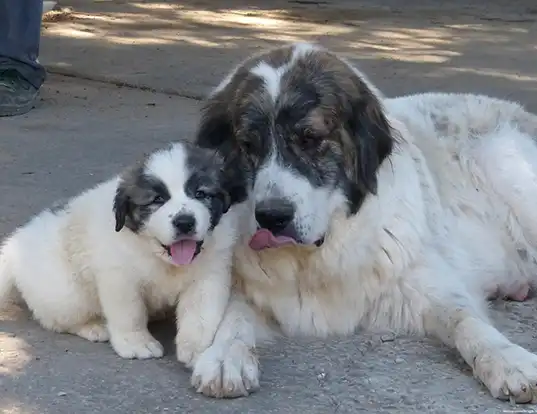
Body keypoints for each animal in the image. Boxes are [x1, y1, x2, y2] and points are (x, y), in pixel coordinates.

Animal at [0, 140, 247, 366]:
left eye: (201, 194)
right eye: (157, 200)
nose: (184, 222)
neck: (160, 258)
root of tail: (16, 243)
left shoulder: (210, 273)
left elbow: (200, 315)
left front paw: (197, 349)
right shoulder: (119, 277)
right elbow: (129, 312)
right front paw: (137, 343)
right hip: (65, 292)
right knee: (59, 319)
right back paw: (93, 326)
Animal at [189, 42, 537, 404]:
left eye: (310, 139)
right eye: (247, 145)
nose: (272, 216)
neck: (316, 260)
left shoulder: (430, 284)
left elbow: (466, 321)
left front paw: (508, 360)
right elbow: (233, 317)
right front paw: (224, 357)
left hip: (506, 162)